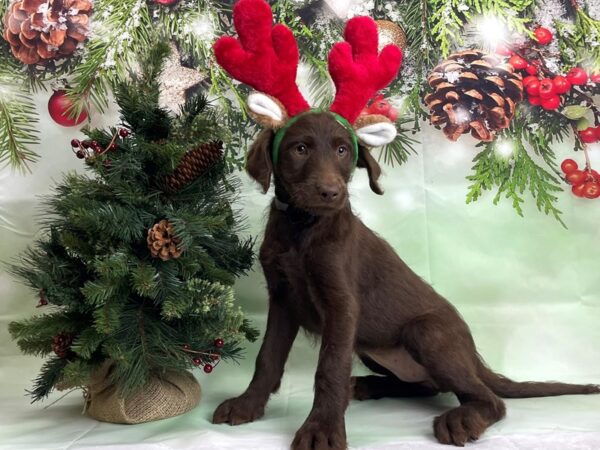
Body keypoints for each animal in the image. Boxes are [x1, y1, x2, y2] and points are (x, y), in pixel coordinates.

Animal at [212, 111, 600, 446]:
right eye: (300, 149)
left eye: (342, 150)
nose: (331, 192)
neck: (302, 226)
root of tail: (474, 356)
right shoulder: (281, 298)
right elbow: (268, 358)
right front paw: (247, 404)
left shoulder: (342, 306)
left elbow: (329, 369)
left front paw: (321, 429)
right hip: (371, 347)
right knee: (429, 385)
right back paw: (369, 386)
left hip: (426, 332)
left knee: (489, 399)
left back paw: (460, 419)